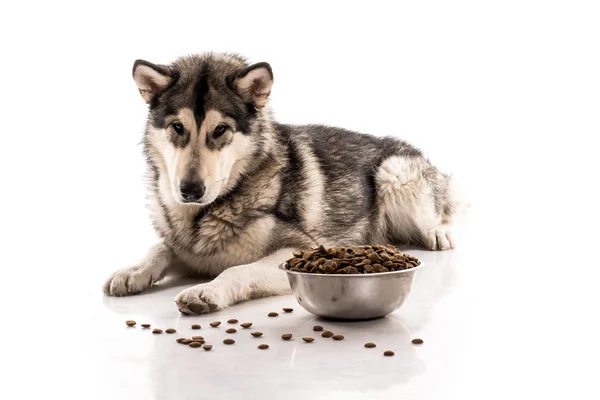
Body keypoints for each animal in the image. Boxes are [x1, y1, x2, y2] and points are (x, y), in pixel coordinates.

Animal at [103, 54, 460, 316]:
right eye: (177, 127)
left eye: (220, 130)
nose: (190, 191)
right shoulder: (187, 245)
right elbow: (161, 246)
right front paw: (134, 270)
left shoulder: (300, 249)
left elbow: (237, 270)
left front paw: (206, 289)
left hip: (393, 172)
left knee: (440, 213)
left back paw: (438, 232)